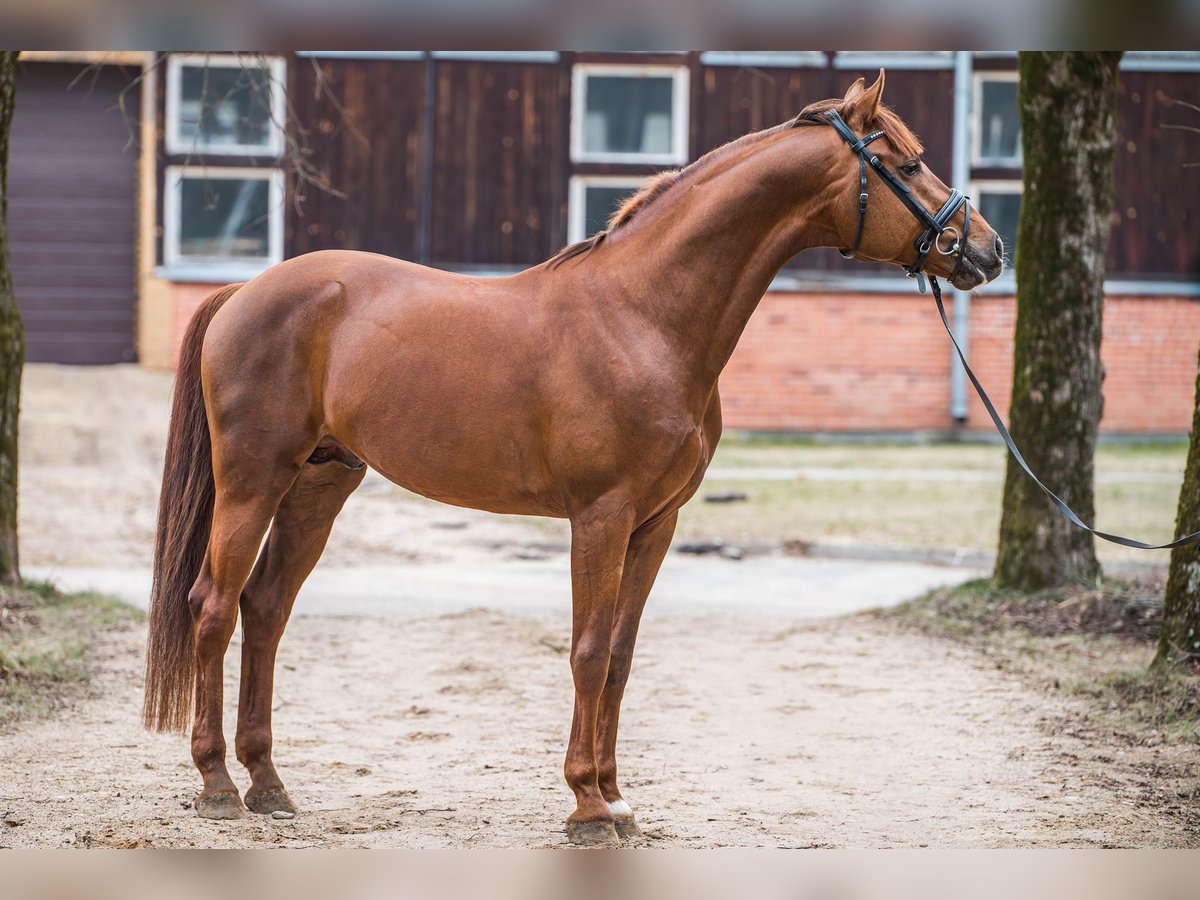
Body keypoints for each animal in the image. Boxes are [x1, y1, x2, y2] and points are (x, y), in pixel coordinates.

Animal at [142, 72, 1003, 854]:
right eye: (906, 163)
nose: (987, 251)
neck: (644, 316)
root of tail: (244, 291)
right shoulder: (601, 515)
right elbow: (587, 653)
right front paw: (587, 808)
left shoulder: (656, 524)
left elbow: (619, 657)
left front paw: (619, 799)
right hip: (255, 479)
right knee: (213, 605)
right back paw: (218, 786)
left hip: (321, 482)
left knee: (265, 609)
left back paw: (269, 785)